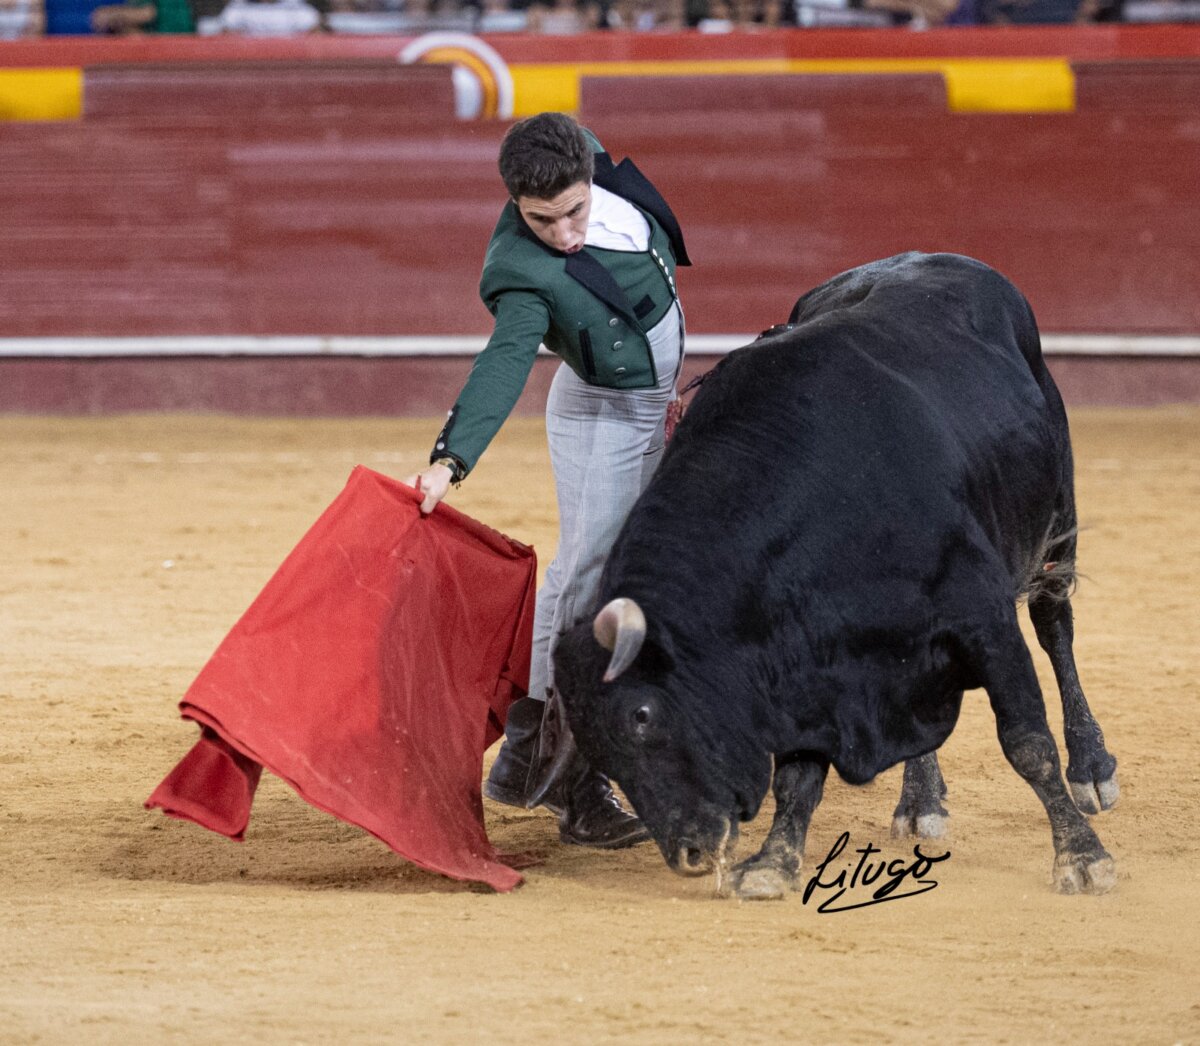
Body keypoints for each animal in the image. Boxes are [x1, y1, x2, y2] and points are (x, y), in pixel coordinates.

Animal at [531, 252, 1119, 900]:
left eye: (642, 716)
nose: (689, 852)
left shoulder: (981, 613)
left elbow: (1026, 740)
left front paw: (1082, 855)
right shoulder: (806, 660)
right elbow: (798, 772)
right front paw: (773, 860)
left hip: (1056, 527)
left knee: (1055, 626)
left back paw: (1092, 768)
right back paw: (921, 800)